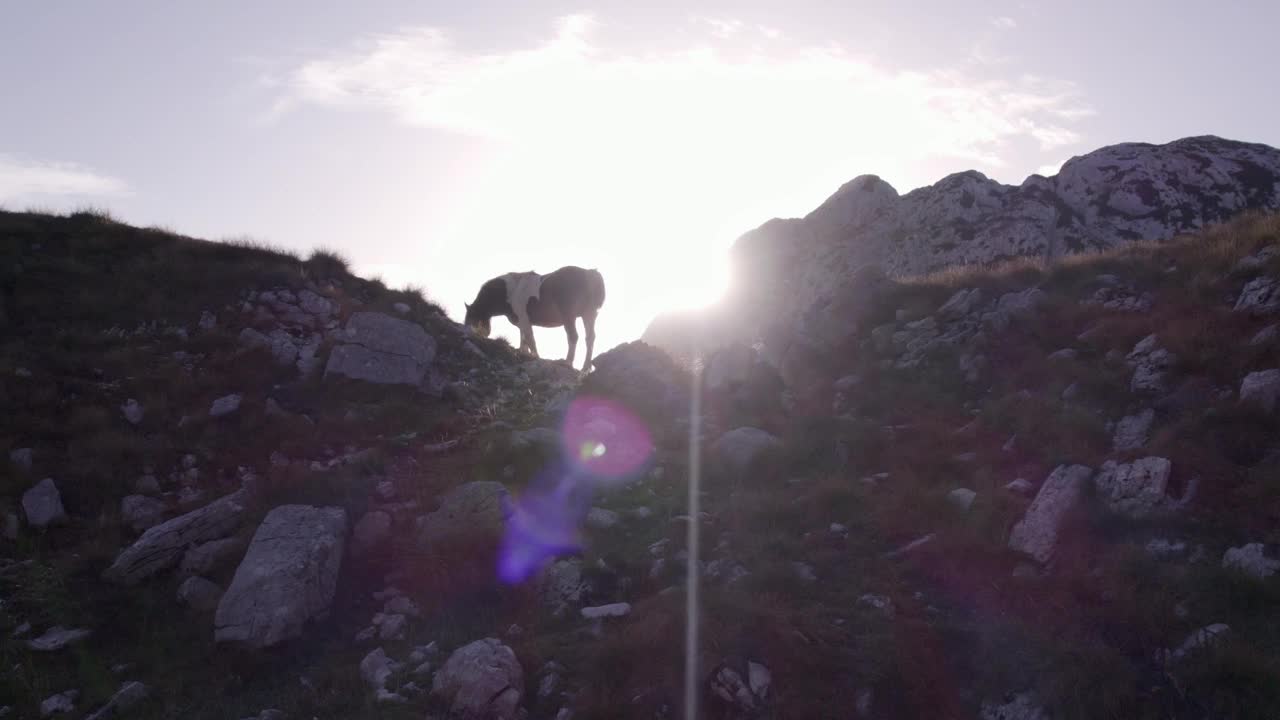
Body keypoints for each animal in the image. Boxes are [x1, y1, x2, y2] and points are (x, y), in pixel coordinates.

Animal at [463, 263, 606, 368]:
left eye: (471, 317)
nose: (469, 332)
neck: (510, 291)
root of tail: (590, 273)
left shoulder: (525, 320)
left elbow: (530, 339)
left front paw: (535, 357)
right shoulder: (522, 322)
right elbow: (524, 339)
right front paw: (523, 353)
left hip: (569, 316)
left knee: (573, 336)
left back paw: (567, 362)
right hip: (589, 314)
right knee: (590, 338)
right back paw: (585, 368)